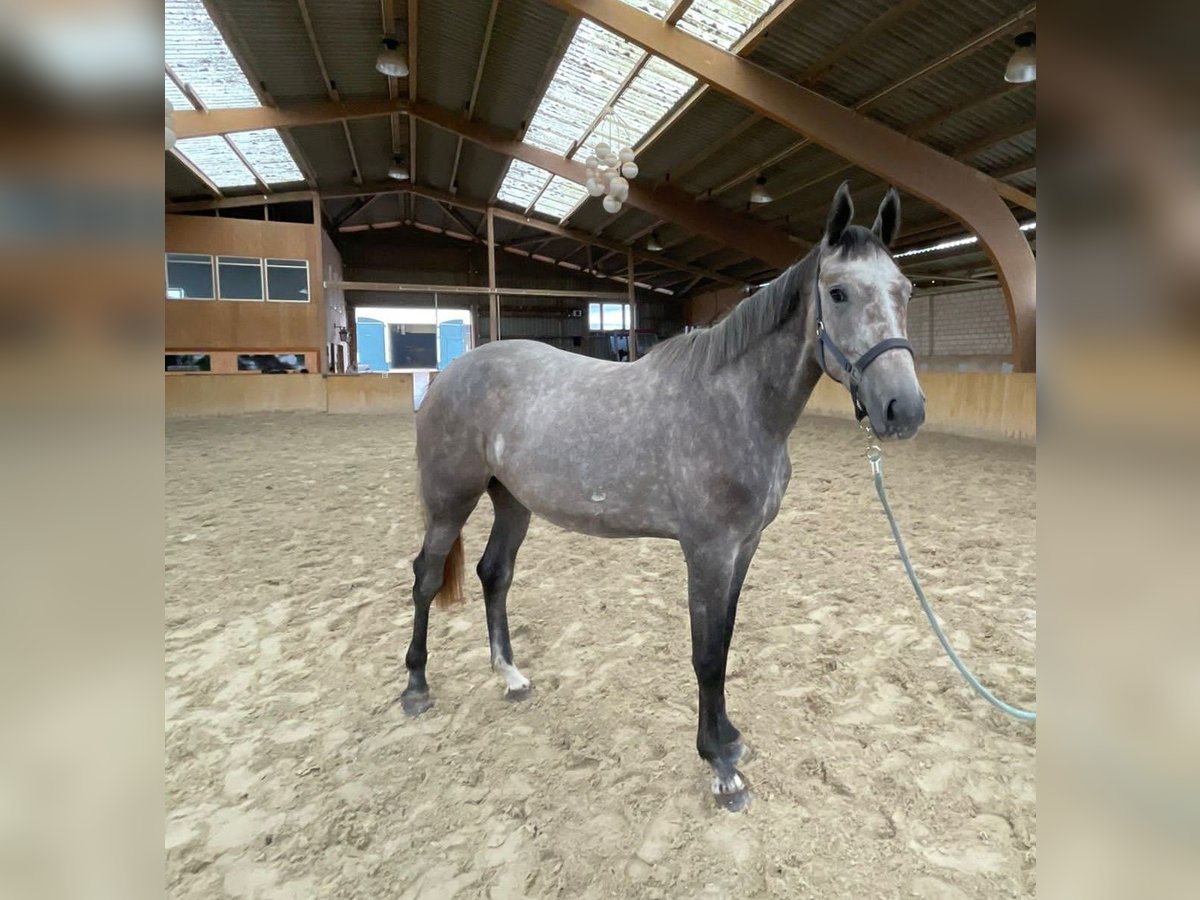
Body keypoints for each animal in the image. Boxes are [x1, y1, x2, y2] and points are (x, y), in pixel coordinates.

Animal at [401, 183, 925, 812]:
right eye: (839, 292)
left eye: (906, 290)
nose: (904, 409)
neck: (736, 404)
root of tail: (451, 371)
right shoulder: (707, 551)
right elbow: (706, 654)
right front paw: (721, 767)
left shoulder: (743, 548)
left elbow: (724, 642)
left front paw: (729, 738)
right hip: (450, 500)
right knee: (426, 577)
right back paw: (415, 687)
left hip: (513, 502)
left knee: (493, 573)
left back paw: (511, 676)